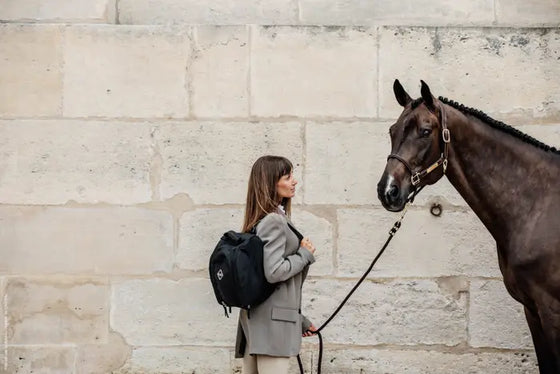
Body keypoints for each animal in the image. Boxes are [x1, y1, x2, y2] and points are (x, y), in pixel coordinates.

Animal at [376, 80, 560, 372]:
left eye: (425, 131)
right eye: (392, 131)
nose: (388, 191)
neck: (538, 204)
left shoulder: (552, 311)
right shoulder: (533, 310)